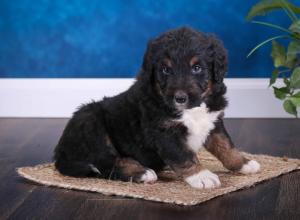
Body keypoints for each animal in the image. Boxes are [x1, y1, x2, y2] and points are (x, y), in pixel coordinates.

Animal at [54, 27, 260, 189]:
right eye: (165, 70)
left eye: (197, 68)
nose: (180, 98)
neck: (191, 110)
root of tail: (60, 153)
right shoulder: (164, 132)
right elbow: (184, 156)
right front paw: (202, 176)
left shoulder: (213, 121)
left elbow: (226, 145)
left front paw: (243, 163)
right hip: (90, 121)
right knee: (105, 163)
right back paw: (142, 172)